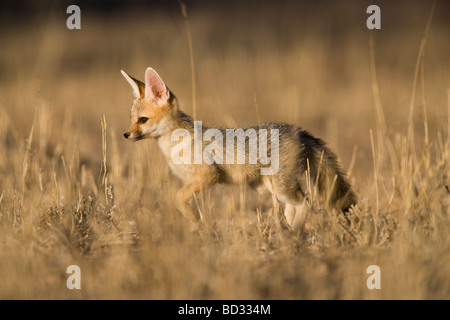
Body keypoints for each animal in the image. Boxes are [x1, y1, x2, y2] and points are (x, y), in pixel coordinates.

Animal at [122, 68, 356, 232]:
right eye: (132, 120)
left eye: (143, 120)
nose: (126, 134)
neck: (175, 144)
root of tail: (299, 131)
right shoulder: (192, 181)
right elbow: (183, 198)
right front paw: (195, 223)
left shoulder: (209, 175)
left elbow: (178, 197)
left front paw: (195, 219)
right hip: (269, 188)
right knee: (295, 206)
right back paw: (290, 232)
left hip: (281, 187)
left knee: (305, 203)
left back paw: (295, 234)